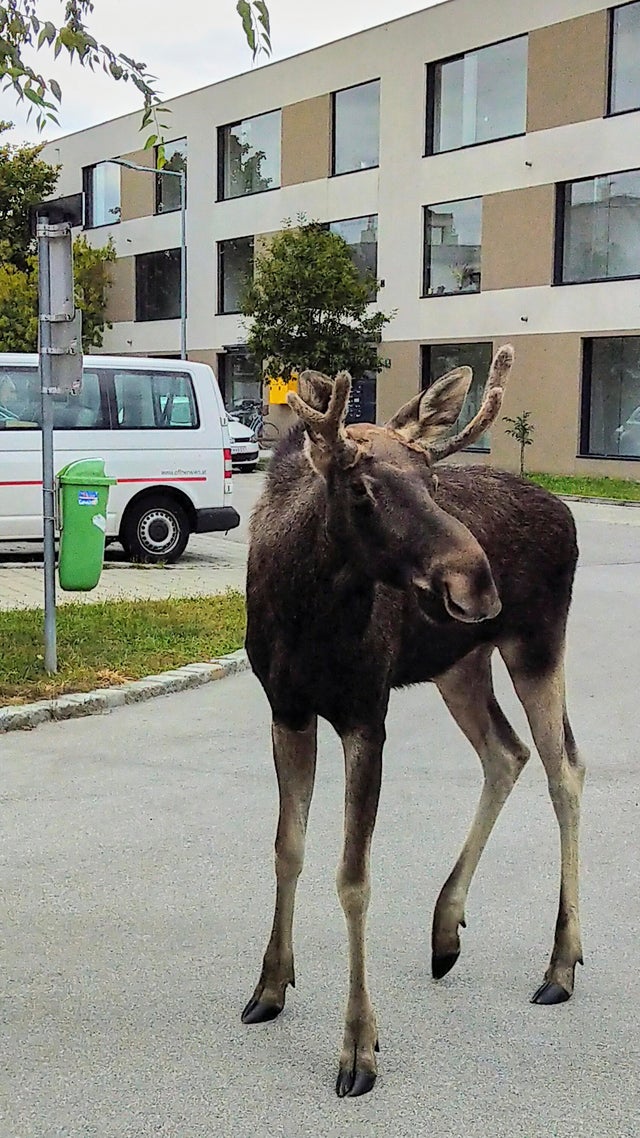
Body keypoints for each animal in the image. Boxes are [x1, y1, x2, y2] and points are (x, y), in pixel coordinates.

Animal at [241, 345, 584, 1098]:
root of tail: (568, 514)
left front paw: (358, 1047)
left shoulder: (366, 712)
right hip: (460, 662)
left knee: (564, 770)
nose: (478, 584)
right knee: (506, 753)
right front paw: (270, 985)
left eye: (431, 480)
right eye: (362, 489)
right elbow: (286, 848)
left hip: (536, 645)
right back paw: (446, 929)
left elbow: (353, 877)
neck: (305, 615)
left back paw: (561, 964)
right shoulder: (286, 709)